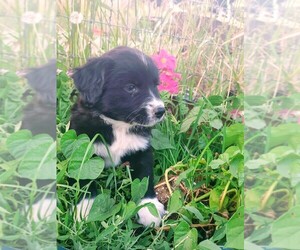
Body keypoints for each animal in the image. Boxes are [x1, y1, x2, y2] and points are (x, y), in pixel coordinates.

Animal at [70, 46, 166, 227]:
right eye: (130, 87)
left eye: (155, 85)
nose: (161, 111)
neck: (119, 125)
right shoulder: (82, 150)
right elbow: (85, 178)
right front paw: (87, 208)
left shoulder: (143, 150)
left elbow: (145, 177)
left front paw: (148, 208)